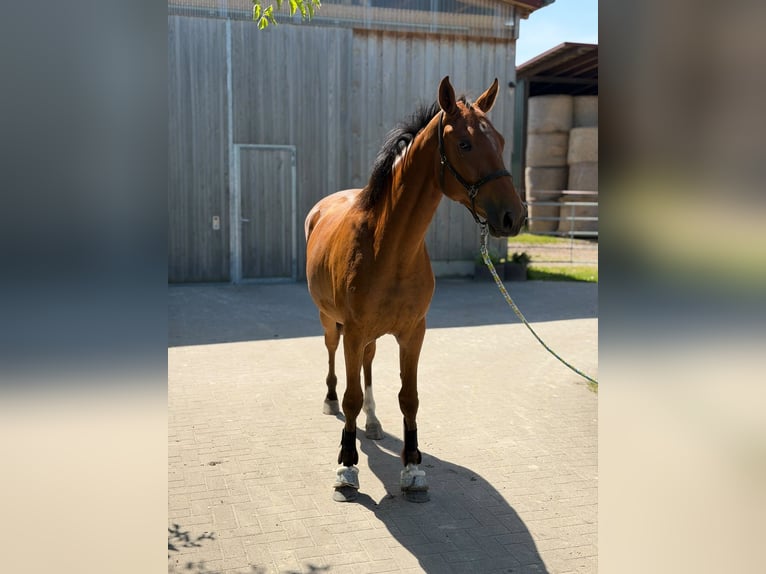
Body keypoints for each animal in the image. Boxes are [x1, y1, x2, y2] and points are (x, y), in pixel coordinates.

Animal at [304, 76, 526, 502]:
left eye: (501, 140)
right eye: (465, 144)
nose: (514, 216)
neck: (388, 246)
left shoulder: (413, 332)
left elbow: (409, 398)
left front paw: (412, 469)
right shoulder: (353, 330)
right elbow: (351, 397)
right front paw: (346, 468)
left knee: (368, 364)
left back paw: (373, 422)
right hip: (329, 320)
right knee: (333, 356)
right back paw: (330, 402)